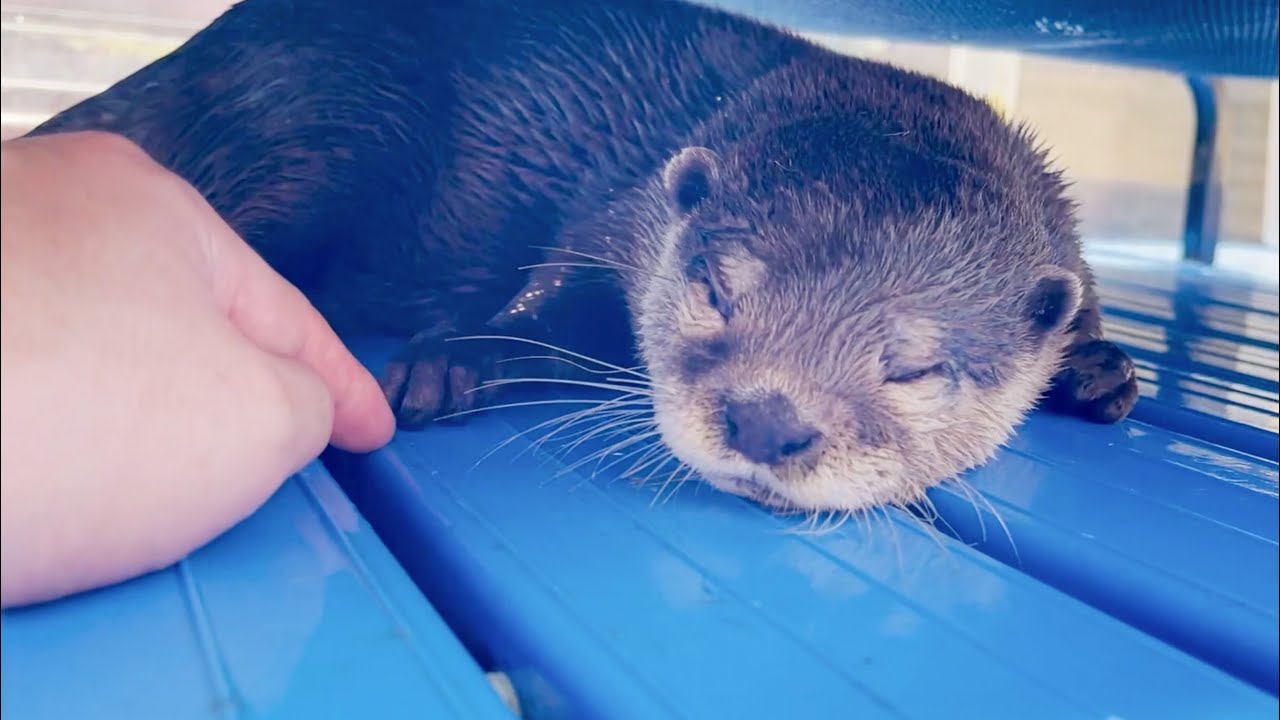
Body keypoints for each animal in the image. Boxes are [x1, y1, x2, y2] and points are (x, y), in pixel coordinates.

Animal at [28, 0, 1139, 513]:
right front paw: (452, 360)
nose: (765, 421)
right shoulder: (628, 209)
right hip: (322, 115)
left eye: (913, 367)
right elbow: (557, 288)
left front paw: (1096, 368)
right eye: (714, 291)